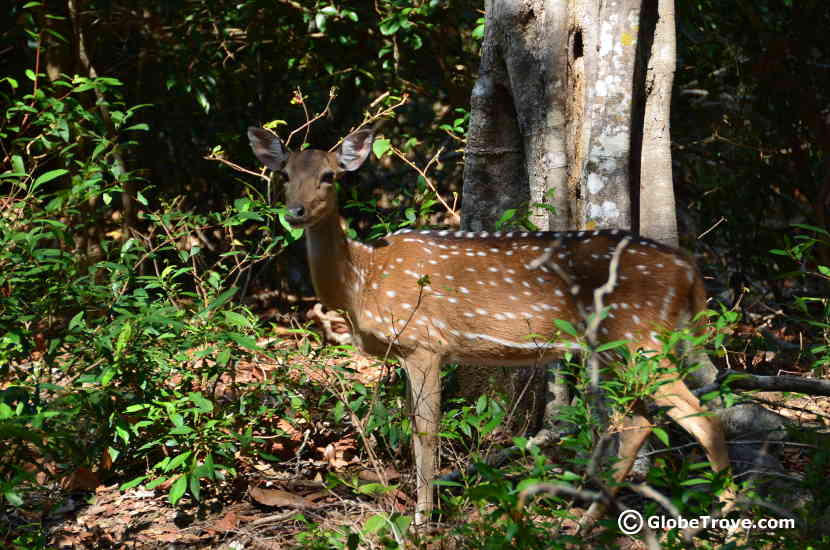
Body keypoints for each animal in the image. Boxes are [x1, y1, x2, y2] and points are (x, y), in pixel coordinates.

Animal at [249, 125, 736, 528]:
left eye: (330, 176)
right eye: (284, 173)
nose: (295, 211)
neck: (362, 281)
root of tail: (689, 270)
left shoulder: (424, 342)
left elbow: (426, 432)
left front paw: (422, 522)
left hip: (639, 336)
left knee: (701, 417)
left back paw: (728, 516)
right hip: (621, 345)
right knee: (639, 422)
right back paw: (587, 522)